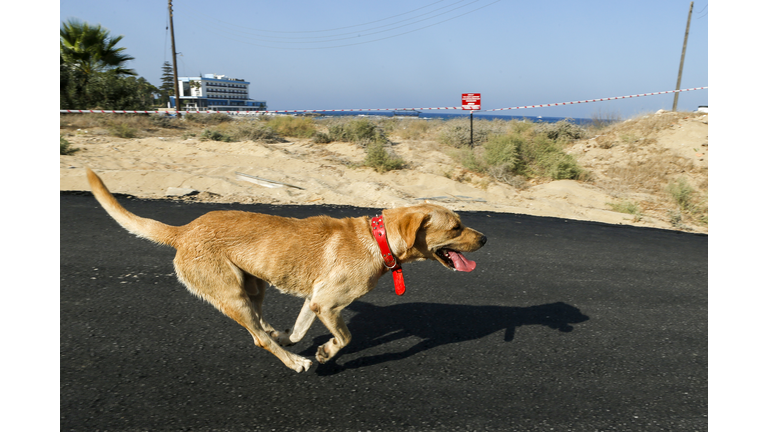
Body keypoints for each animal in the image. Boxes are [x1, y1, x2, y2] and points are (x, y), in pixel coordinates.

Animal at [85, 168, 486, 372]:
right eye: (455, 228)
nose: (485, 239)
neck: (378, 239)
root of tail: (183, 232)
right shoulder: (328, 304)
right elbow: (345, 338)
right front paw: (324, 354)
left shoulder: (315, 300)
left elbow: (299, 329)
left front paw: (297, 339)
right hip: (232, 295)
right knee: (259, 338)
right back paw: (294, 362)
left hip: (253, 285)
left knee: (261, 331)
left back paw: (276, 336)